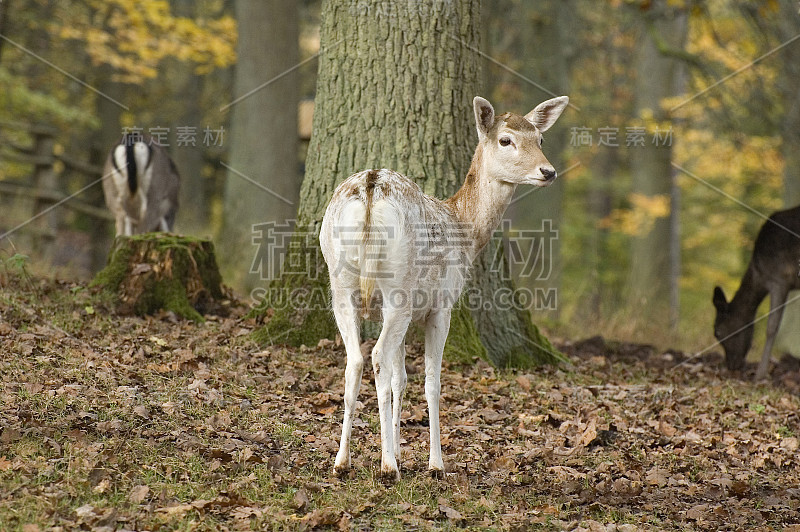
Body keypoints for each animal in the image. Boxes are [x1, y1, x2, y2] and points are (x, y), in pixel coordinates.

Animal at [318, 93, 568, 480]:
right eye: (505, 140)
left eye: (540, 139)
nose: (548, 171)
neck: (465, 227)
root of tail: (370, 186)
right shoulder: (442, 305)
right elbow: (431, 382)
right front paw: (434, 463)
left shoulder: (402, 313)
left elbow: (401, 378)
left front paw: (399, 450)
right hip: (398, 287)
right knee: (376, 356)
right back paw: (387, 468)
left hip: (341, 283)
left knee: (356, 359)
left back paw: (342, 461)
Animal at [712, 206, 800, 380]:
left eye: (717, 332)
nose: (732, 365)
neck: (759, 273)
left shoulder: (778, 279)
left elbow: (772, 327)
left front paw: (760, 374)